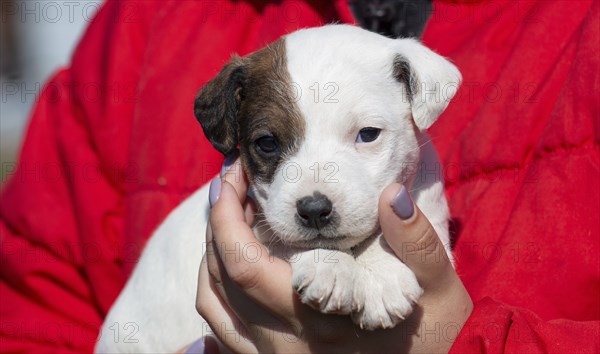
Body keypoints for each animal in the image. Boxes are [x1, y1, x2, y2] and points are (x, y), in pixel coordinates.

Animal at [96, 24, 460, 354]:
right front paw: (331, 267)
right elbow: (284, 241)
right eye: (268, 143)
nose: (314, 210)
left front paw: (381, 276)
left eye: (368, 134)